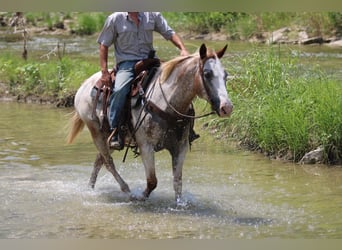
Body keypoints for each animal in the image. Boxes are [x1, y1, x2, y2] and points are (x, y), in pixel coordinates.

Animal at [66, 43, 234, 203]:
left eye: (225, 75)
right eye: (207, 74)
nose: (227, 107)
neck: (166, 101)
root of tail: (84, 85)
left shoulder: (181, 147)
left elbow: (177, 182)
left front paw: (180, 204)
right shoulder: (146, 146)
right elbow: (152, 181)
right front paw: (140, 197)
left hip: (109, 138)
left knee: (99, 161)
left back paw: (90, 187)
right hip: (96, 133)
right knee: (108, 163)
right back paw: (127, 191)